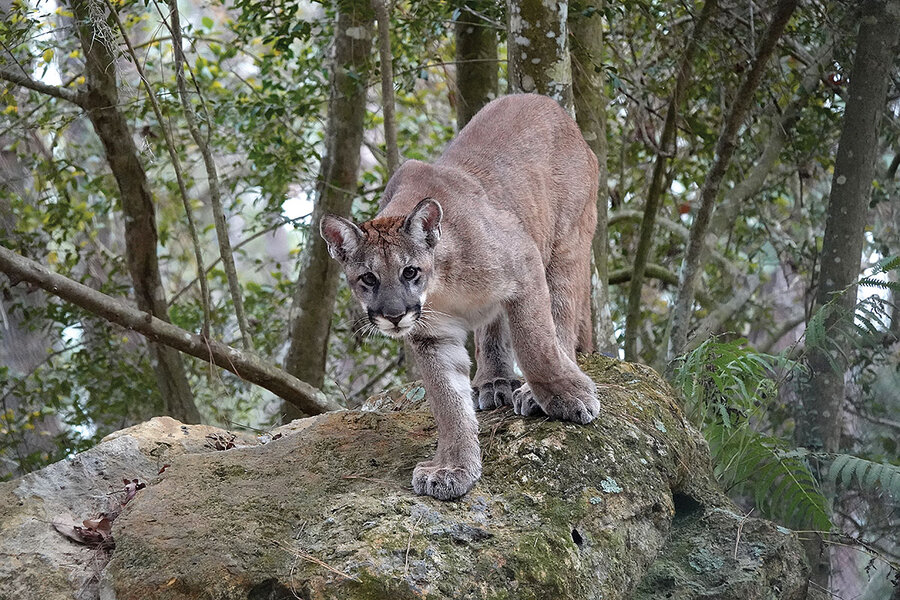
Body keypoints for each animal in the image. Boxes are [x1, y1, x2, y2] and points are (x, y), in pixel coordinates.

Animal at [322, 94, 596, 500]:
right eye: (368, 279)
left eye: (409, 272)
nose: (394, 315)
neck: (441, 287)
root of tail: (551, 105)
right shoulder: (430, 335)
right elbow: (448, 401)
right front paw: (452, 467)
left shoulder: (525, 263)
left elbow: (535, 343)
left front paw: (568, 397)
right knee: (493, 328)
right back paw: (494, 381)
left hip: (567, 244)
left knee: (559, 320)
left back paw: (535, 391)